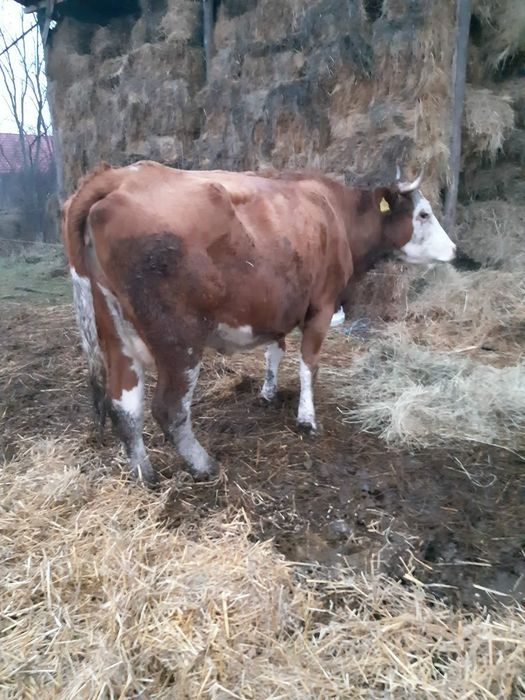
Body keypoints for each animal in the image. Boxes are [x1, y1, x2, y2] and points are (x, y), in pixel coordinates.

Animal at [62, 161, 456, 485]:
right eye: (423, 214)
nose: (454, 251)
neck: (334, 212)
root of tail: (119, 176)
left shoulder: (275, 306)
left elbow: (274, 351)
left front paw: (267, 392)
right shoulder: (322, 304)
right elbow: (308, 365)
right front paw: (307, 418)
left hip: (116, 335)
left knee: (124, 405)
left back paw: (144, 475)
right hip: (178, 340)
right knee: (169, 409)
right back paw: (204, 464)